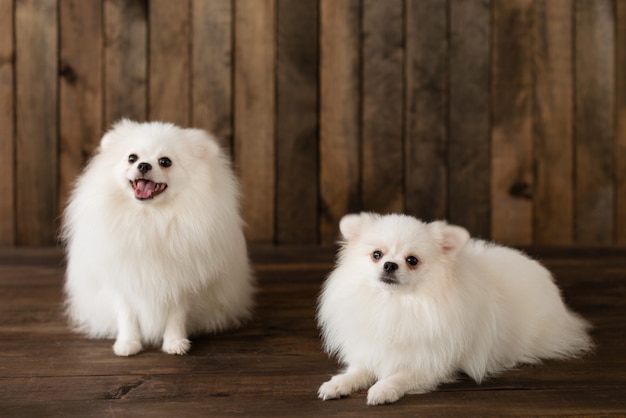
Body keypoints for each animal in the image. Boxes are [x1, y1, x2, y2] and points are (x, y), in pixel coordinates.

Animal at [60, 120, 251, 356]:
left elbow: (176, 314)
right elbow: (127, 314)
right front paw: (128, 343)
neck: (149, 217)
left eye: (165, 161)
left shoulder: (181, 281)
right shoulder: (123, 278)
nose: (143, 165)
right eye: (132, 157)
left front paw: (175, 343)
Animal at [316, 212, 588, 404]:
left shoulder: (432, 363)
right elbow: (358, 370)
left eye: (412, 260)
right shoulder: (371, 349)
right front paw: (338, 384)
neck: (396, 304)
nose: (390, 265)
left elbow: (402, 374)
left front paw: (383, 388)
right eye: (376, 255)